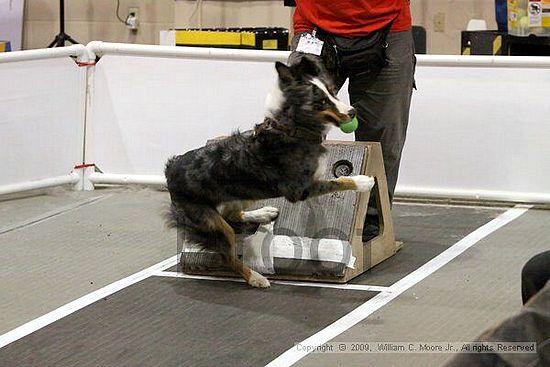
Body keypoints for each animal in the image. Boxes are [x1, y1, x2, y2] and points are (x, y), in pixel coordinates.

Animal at [166, 56, 378, 288]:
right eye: (321, 102)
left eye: (332, 91)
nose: (352, 112)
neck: (294, 130)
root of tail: (170, 169)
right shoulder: (298, 189)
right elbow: (337, 182)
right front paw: (362, 182)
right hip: (210, 221)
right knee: (228, 254)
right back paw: (255, 278)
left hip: (245, 193)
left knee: (231, 213)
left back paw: (263, 213)